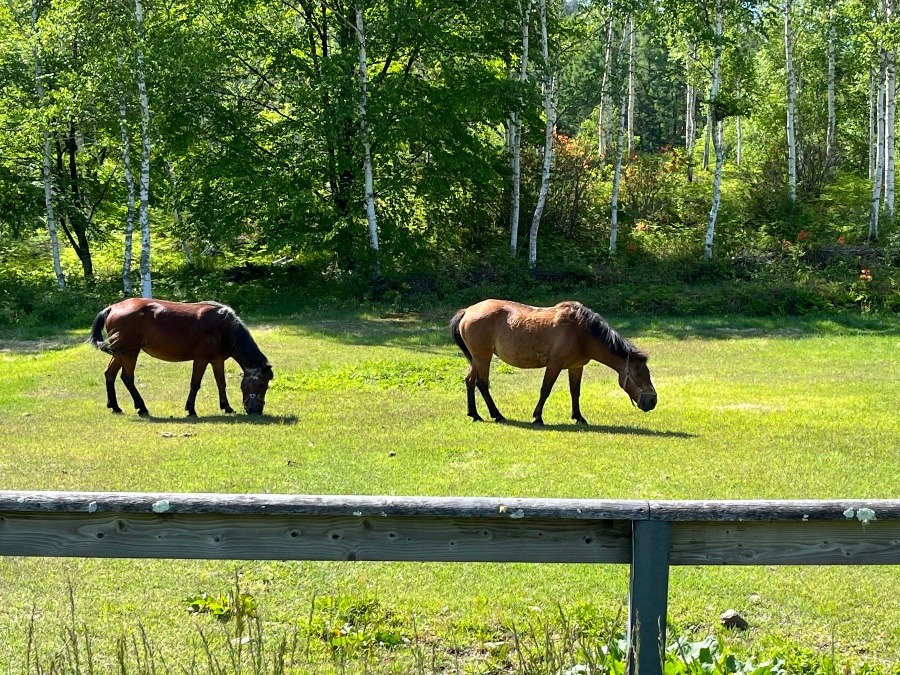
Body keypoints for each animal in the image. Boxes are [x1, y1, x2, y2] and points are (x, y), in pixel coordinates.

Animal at [87, 300, 272, 418]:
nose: (256, 411)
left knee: (109, 375)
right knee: (127, 378)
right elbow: (195, 384)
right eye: (262, 385)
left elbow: (221, 383)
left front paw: (226, 407)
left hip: (121, 353)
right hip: (130, 352)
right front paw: (191, 410)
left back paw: (115, 406)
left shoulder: (217, 361)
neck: (225, 326)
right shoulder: (201, 359)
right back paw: (142, 407)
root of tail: (111, 308)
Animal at [448, 300, 652, 426]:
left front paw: (578, 417)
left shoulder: (576, 366)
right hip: (483, 357)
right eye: (639, 372)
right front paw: (538, 417)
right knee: (482, 383)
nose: (652, 401)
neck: (583, 333)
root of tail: (467, 311)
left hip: (475, 358)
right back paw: (497, 415)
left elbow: (575, 392)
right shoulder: (555, 364)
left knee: (469, 381)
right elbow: (545, 390)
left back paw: (474, 414)